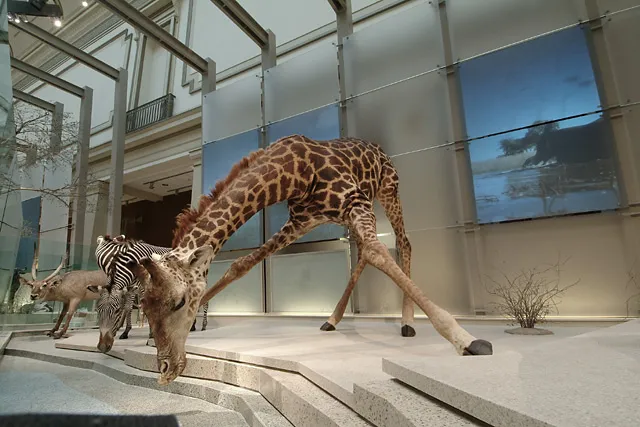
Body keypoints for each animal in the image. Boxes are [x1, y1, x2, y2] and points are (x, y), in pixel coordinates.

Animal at [126, 135, 496, 386]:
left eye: (178, 302)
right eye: (145, 307)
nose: (165, 369)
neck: (293, 174)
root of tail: (378, 148)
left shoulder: (353, 199)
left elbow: (380, 251)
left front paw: (465, 339)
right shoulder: (301, 222)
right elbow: (240, 265)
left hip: (387, 191)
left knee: (401, 243)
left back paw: (407, 322)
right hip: (353, 211)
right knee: (364, 250)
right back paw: (331, 319)